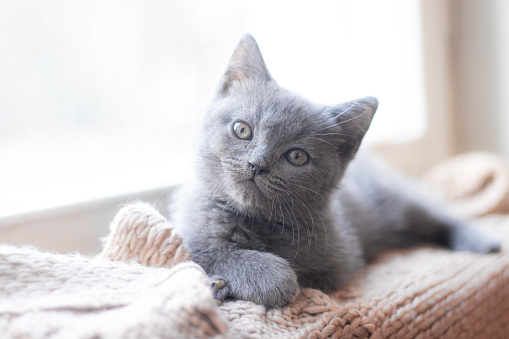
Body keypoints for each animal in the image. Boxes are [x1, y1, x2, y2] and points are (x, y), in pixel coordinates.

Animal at [171, 35, 500, 310]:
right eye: (242, 130)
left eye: (297, 156)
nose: (257, 164)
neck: (256, 219)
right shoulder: (193, 233)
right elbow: (214, 253)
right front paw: (240, 281)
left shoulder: (339, 260)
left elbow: (305, 274)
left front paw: (267, 280)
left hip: (396, 197)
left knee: (437, 213)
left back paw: (481, 241)